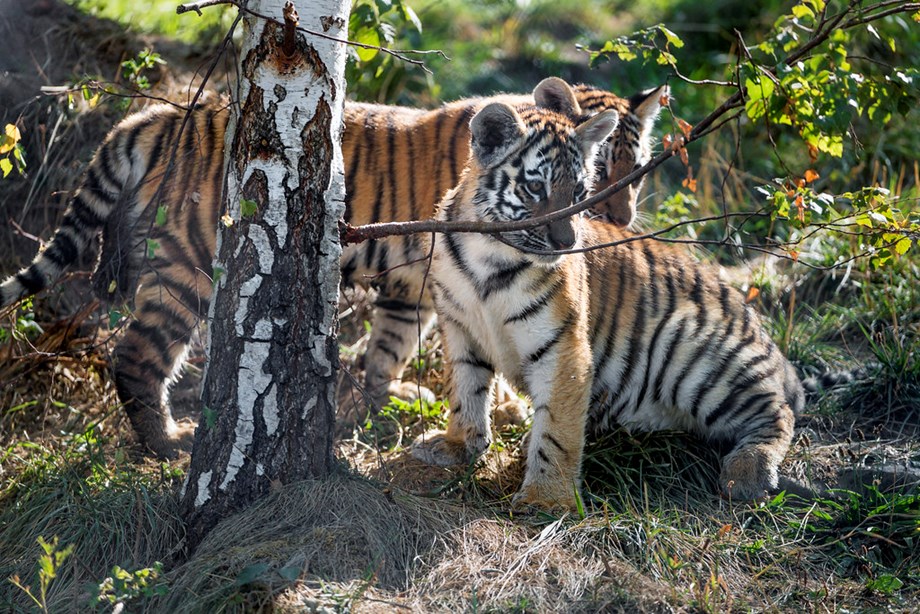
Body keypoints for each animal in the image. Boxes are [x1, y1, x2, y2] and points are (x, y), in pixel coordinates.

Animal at [0, 78, 665, 459]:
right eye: (598, 174)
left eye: (638, 169)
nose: (619, 220)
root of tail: (160, 116)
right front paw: (501, 410)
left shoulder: (414, 283)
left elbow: (391, 342)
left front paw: (386, 396)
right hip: (188, 269)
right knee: (138, 354)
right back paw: (168, 443)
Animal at [412, 101, 802, 508]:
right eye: (535, 188)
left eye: (579, 191)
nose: (566, 242)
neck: (488, 258)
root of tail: (774, 349)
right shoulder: (460, 328)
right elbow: (466, 390)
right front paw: (457, 445)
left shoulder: (563, 348)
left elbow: (557, 431)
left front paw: (546, 499)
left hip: (697, 360)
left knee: (779, 413)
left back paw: (747, 473)